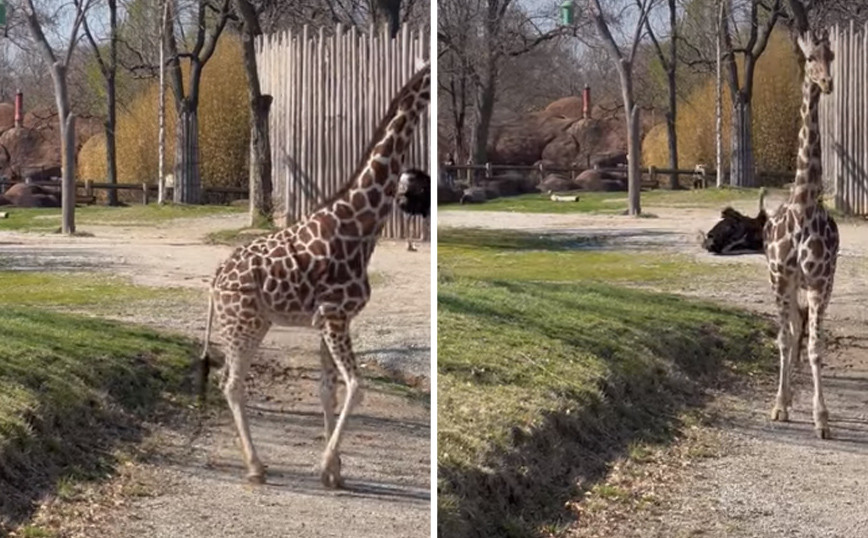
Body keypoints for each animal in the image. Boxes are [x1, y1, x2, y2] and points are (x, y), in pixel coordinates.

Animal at [200, 60, 430, 484]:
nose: (418, 203)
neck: (360, 224)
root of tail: (216, 278)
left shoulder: (328, 319)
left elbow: (328, 389)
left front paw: (335, 472)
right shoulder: (335, 315)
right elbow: (356, 387)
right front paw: (325, 464)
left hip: (256, 323)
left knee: (229, 382)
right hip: (241, 324)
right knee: (232, 384)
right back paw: (255, 466)